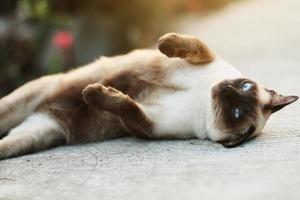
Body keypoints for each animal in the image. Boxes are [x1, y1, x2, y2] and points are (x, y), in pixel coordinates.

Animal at [0, 33, 298, 161]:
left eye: (235, 114)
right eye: (245, 86)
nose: (225, 90)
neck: (202, 98)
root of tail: (44, 109)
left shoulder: (147, 124)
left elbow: (126, 107)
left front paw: (95, 94)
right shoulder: (205, 58)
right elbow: (191, 45)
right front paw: (164, 42)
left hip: (34, 135)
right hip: (31, 96)